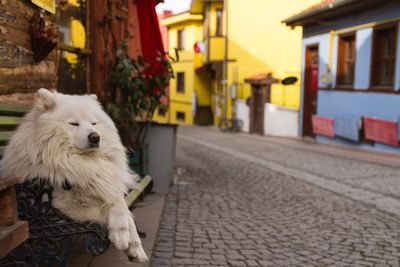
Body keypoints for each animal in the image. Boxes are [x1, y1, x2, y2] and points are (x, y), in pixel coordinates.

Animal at [0, 89, 148, 262]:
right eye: (73, 124)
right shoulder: (63, 206)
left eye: (93, 123)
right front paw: (121, 235)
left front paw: (136, 248)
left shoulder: (105, 188)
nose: (95, 136)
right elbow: (107, 211)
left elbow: (122, 207)